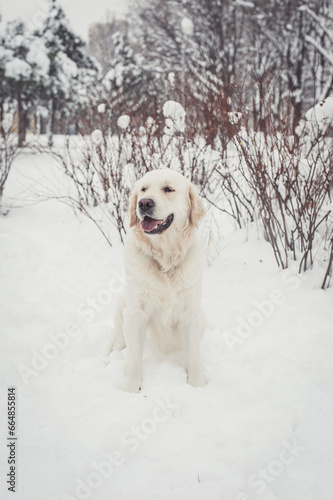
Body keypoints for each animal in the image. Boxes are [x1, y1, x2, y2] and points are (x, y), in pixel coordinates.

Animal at [111, 170, 205, 392]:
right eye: (143, 189)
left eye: (168, 189)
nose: (144, 203)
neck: (165, 260)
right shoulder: (136, 312)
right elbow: (134, 358)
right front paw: (130, 389)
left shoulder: (192, 313)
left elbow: (194, 354)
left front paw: (197, 385)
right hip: (122, 305)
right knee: (120, 342)